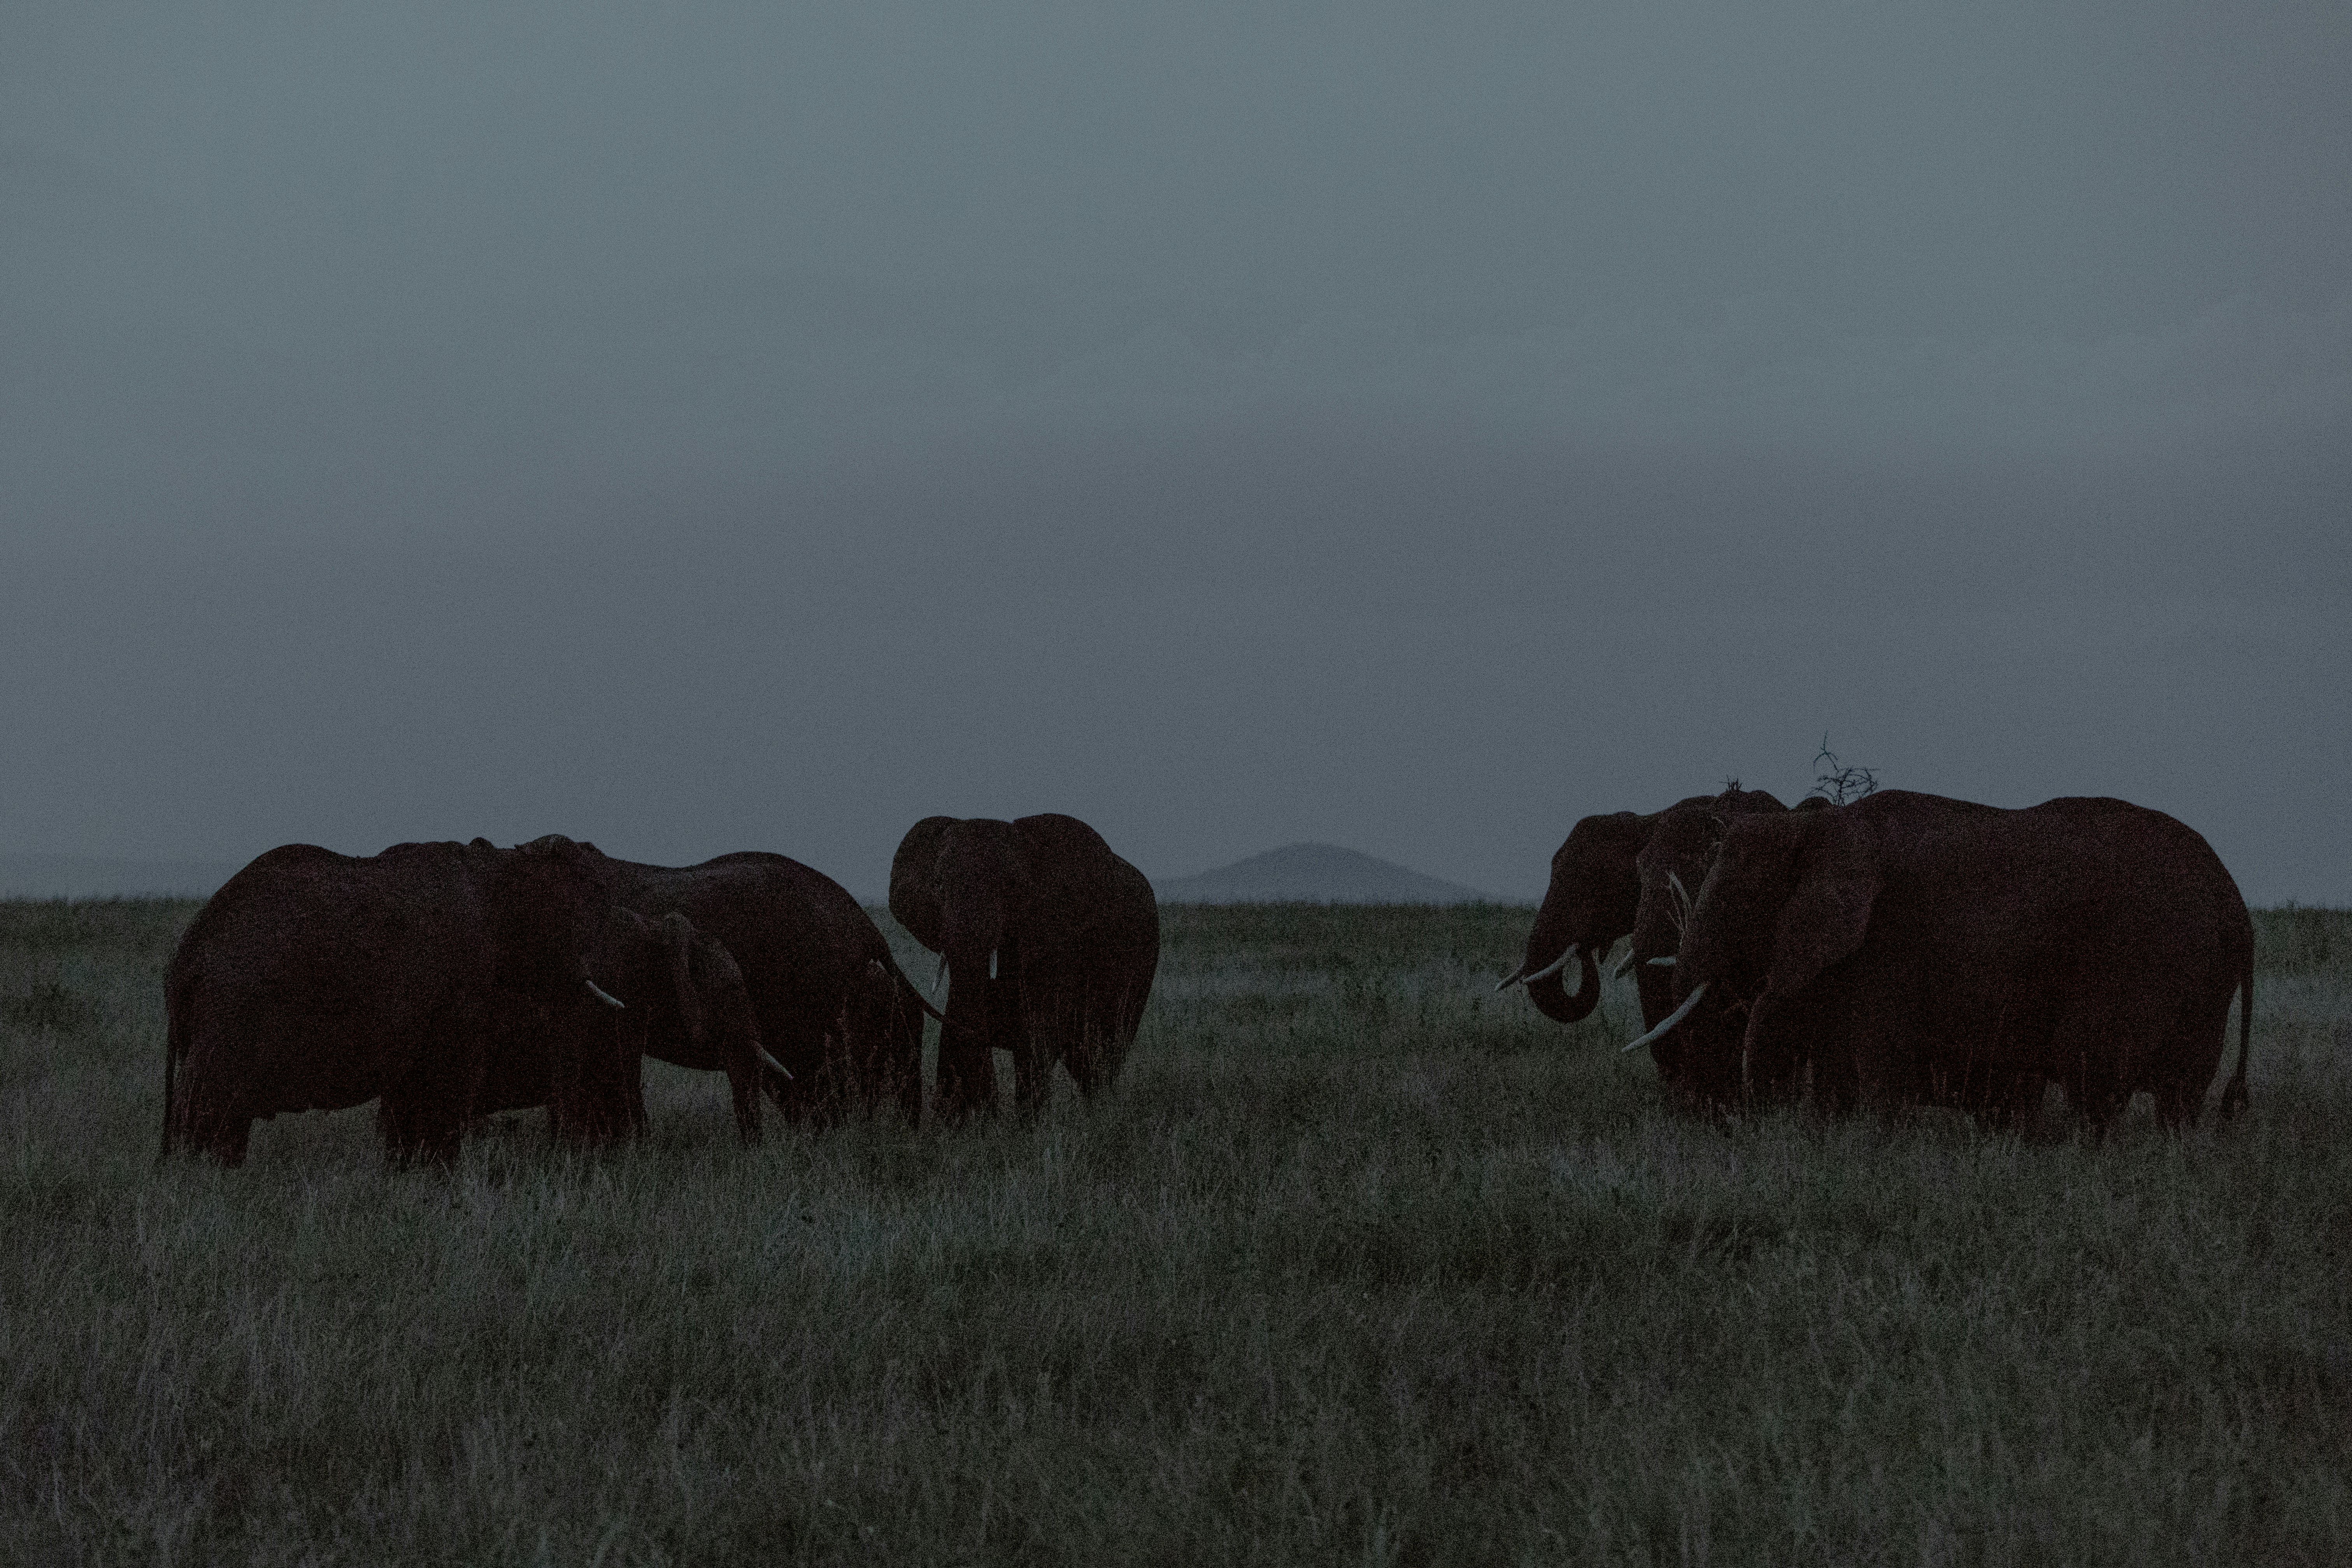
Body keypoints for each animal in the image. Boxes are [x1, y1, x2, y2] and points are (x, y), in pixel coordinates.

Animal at [162, 835, 627, 1165]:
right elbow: (445, 1078)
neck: (498, 864)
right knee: (209, 1106)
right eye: (571, 919)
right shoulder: (463, 978)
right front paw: (435, 1174)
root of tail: (183, 958)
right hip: (231, 1009)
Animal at [889, 813, 1160, 1120]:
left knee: (1099, 1051)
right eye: (938, 886)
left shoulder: (1057, 938)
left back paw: (1098, 1110)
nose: (986, 1109)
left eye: (1010, 887)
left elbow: (1037, 1029)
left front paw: (1027, 1123)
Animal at [1646, 790, 2254, 1129]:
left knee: (2094, 1085)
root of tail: (2240, 910)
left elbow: (1877, 1076)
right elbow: (1839, 1081)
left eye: (1738, 899)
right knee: (2176, 1100)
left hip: (2150, 963)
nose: (1726, 1117)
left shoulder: (1887, 947)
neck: (1816, 826)